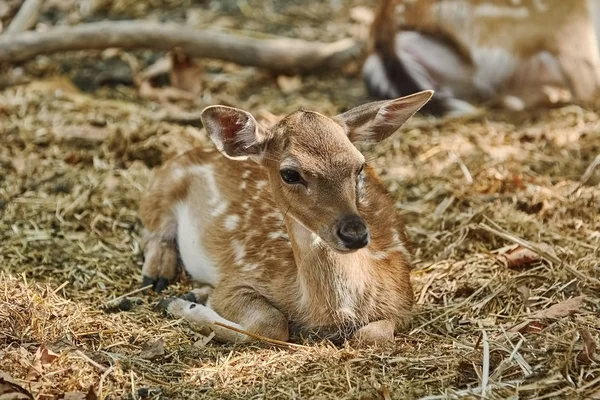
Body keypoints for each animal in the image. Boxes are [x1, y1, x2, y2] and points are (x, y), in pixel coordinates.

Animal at [141, 90, 432, 344]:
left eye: (360, 165)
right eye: (290, 174)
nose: (355, 233)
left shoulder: (404, 300)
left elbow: (371, 336)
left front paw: (192, 298)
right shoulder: (239, 278)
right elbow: (271, 324)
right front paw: (178, 303)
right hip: (167, 179)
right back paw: (158, 278)